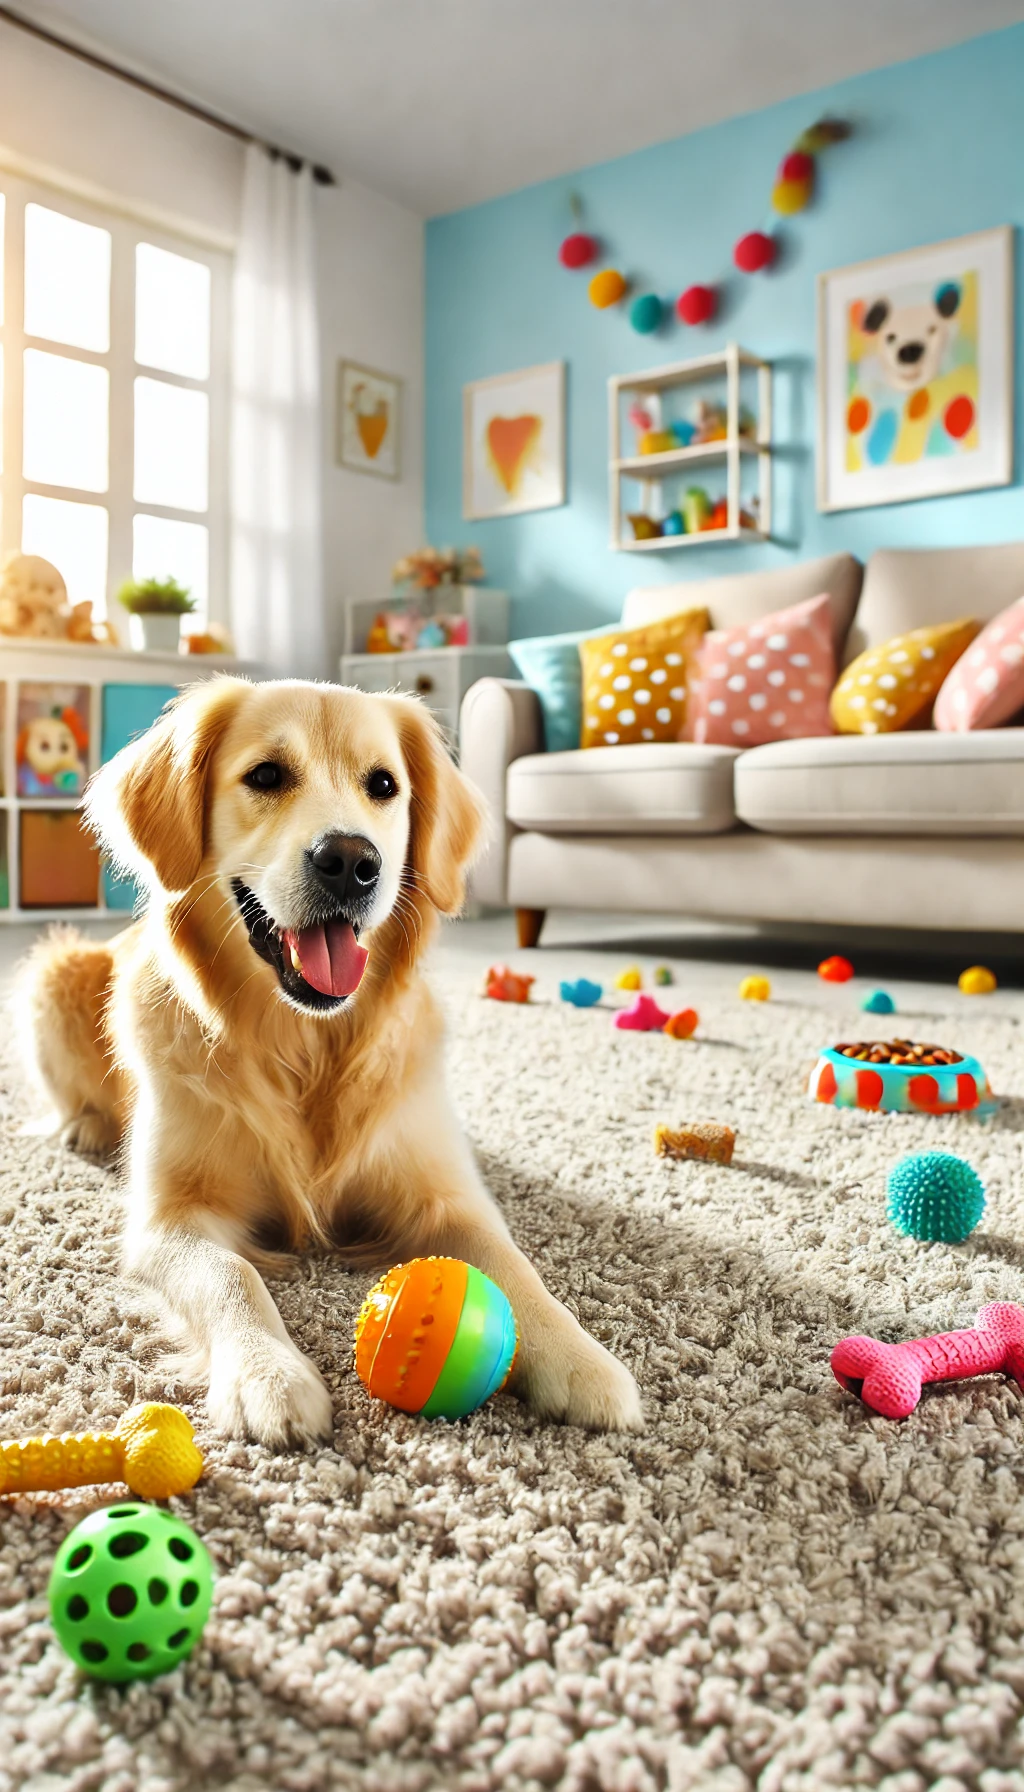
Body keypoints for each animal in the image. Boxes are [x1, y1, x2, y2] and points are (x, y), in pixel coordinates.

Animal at [16, 677, 642, 1447]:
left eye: (384, 785)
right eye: (266, 776)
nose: (350, 861)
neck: (306, 1048)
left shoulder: (445, 1194)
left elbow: (514, 1265)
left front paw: (582, 1361)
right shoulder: (169, 1220)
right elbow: (231, 1273)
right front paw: (269, 1376)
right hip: (52, 969)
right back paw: (83, 1127)